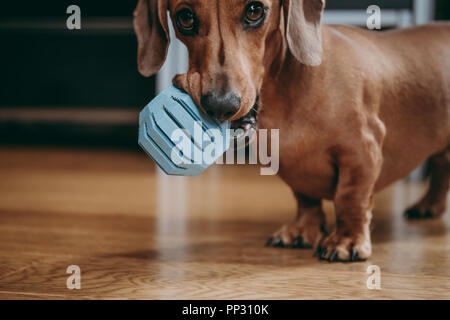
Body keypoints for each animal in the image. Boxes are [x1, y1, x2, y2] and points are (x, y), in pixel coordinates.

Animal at [134, 0, 450, 262]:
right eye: (185, 17)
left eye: (254, 11)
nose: (221, 106)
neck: (287, 91)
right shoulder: (292, 166)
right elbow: (305, 199)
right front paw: (302, 231)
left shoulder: (363, 152)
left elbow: (351, 198)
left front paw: (347, 241)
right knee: (440, 168)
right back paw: (427, 206)